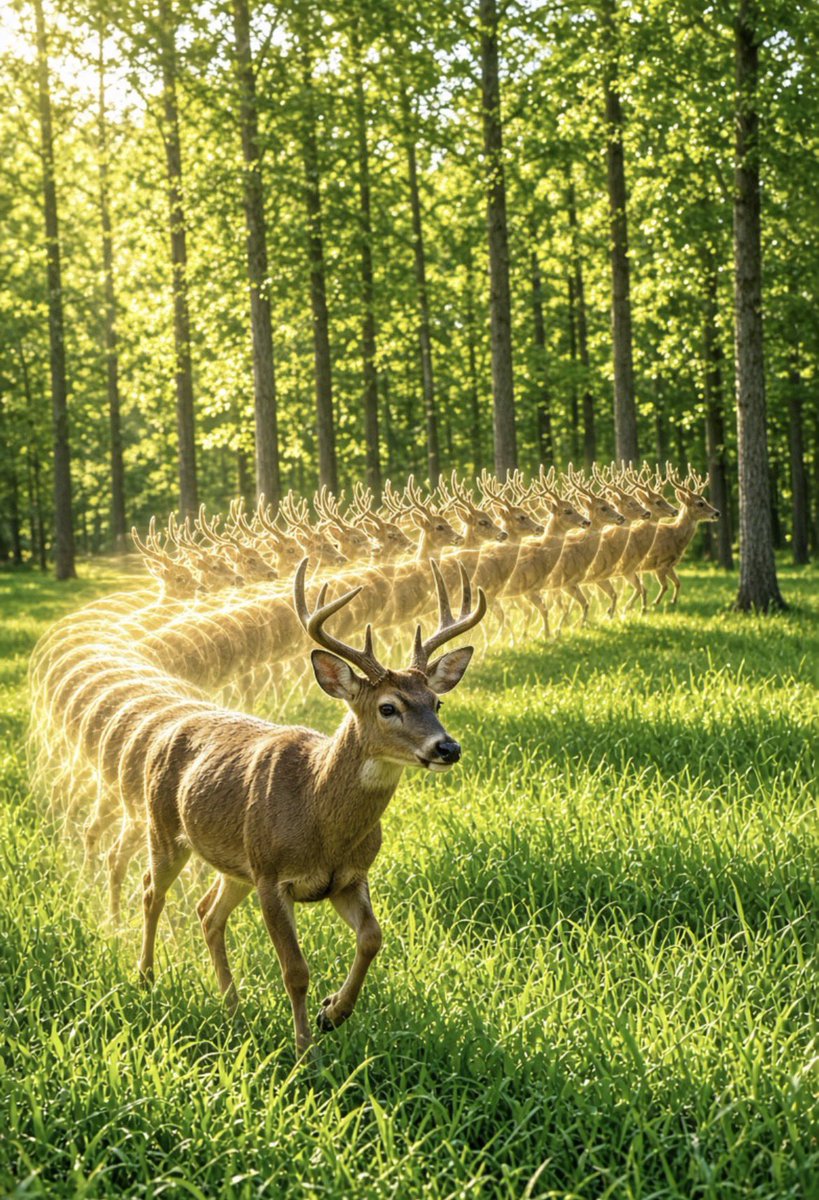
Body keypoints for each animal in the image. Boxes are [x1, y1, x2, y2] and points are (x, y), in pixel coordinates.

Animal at [136, 557, 486, 1056]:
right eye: (387, 707)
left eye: (436, 702)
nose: (448, 748)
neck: (318, 815)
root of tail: (170, 726)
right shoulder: (272, 876)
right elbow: (295, 970)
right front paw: (306, 1050)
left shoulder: (348, 877)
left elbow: (372, 938)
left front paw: (333, 1013)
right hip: (165, 828)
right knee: (152, 891)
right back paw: (146, 978)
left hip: (235, 864)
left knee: (208, 913)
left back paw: (233, 1007)